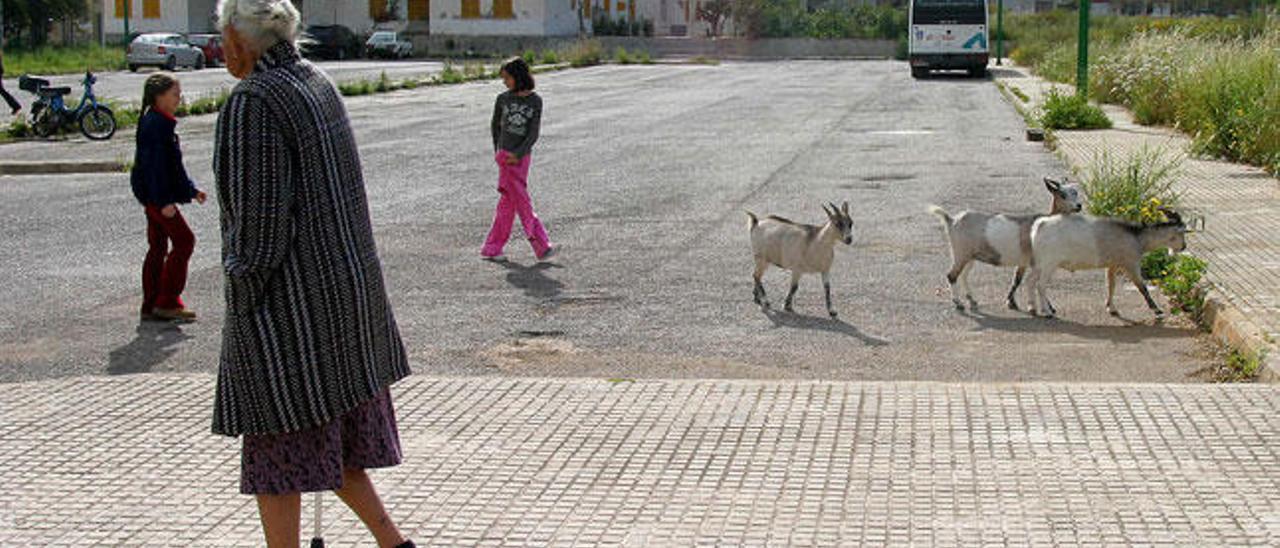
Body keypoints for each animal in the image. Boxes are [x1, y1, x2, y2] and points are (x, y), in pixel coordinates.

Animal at [926, 177, 1085, 309]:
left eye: (1076, 192)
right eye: (1062, 195)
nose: (1079, 206)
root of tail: (951, 220)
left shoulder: (1024, 261)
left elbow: (1018, 280)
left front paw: (1013, 302)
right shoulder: (1031, 260)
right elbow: (1024, 281)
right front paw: (1041, 306)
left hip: (969, 255)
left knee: (964, 275)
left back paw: (972, 300)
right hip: (961, 253)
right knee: (952, 275)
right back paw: (958, 303)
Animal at [1018, 209, 1187, 321]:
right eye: (1181, 233)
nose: (1184, 247)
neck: (1137, 237)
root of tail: (1039, 225)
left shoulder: (1113, 265)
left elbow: (1111, 285)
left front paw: (1111, 308)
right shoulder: (1130, 263)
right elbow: (1142, 287)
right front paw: (1157, 311)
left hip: (1039, 264)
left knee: (1030, 281)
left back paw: (1032, 308)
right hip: (1049, 263)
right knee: (1040, 285)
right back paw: (1047, 312)